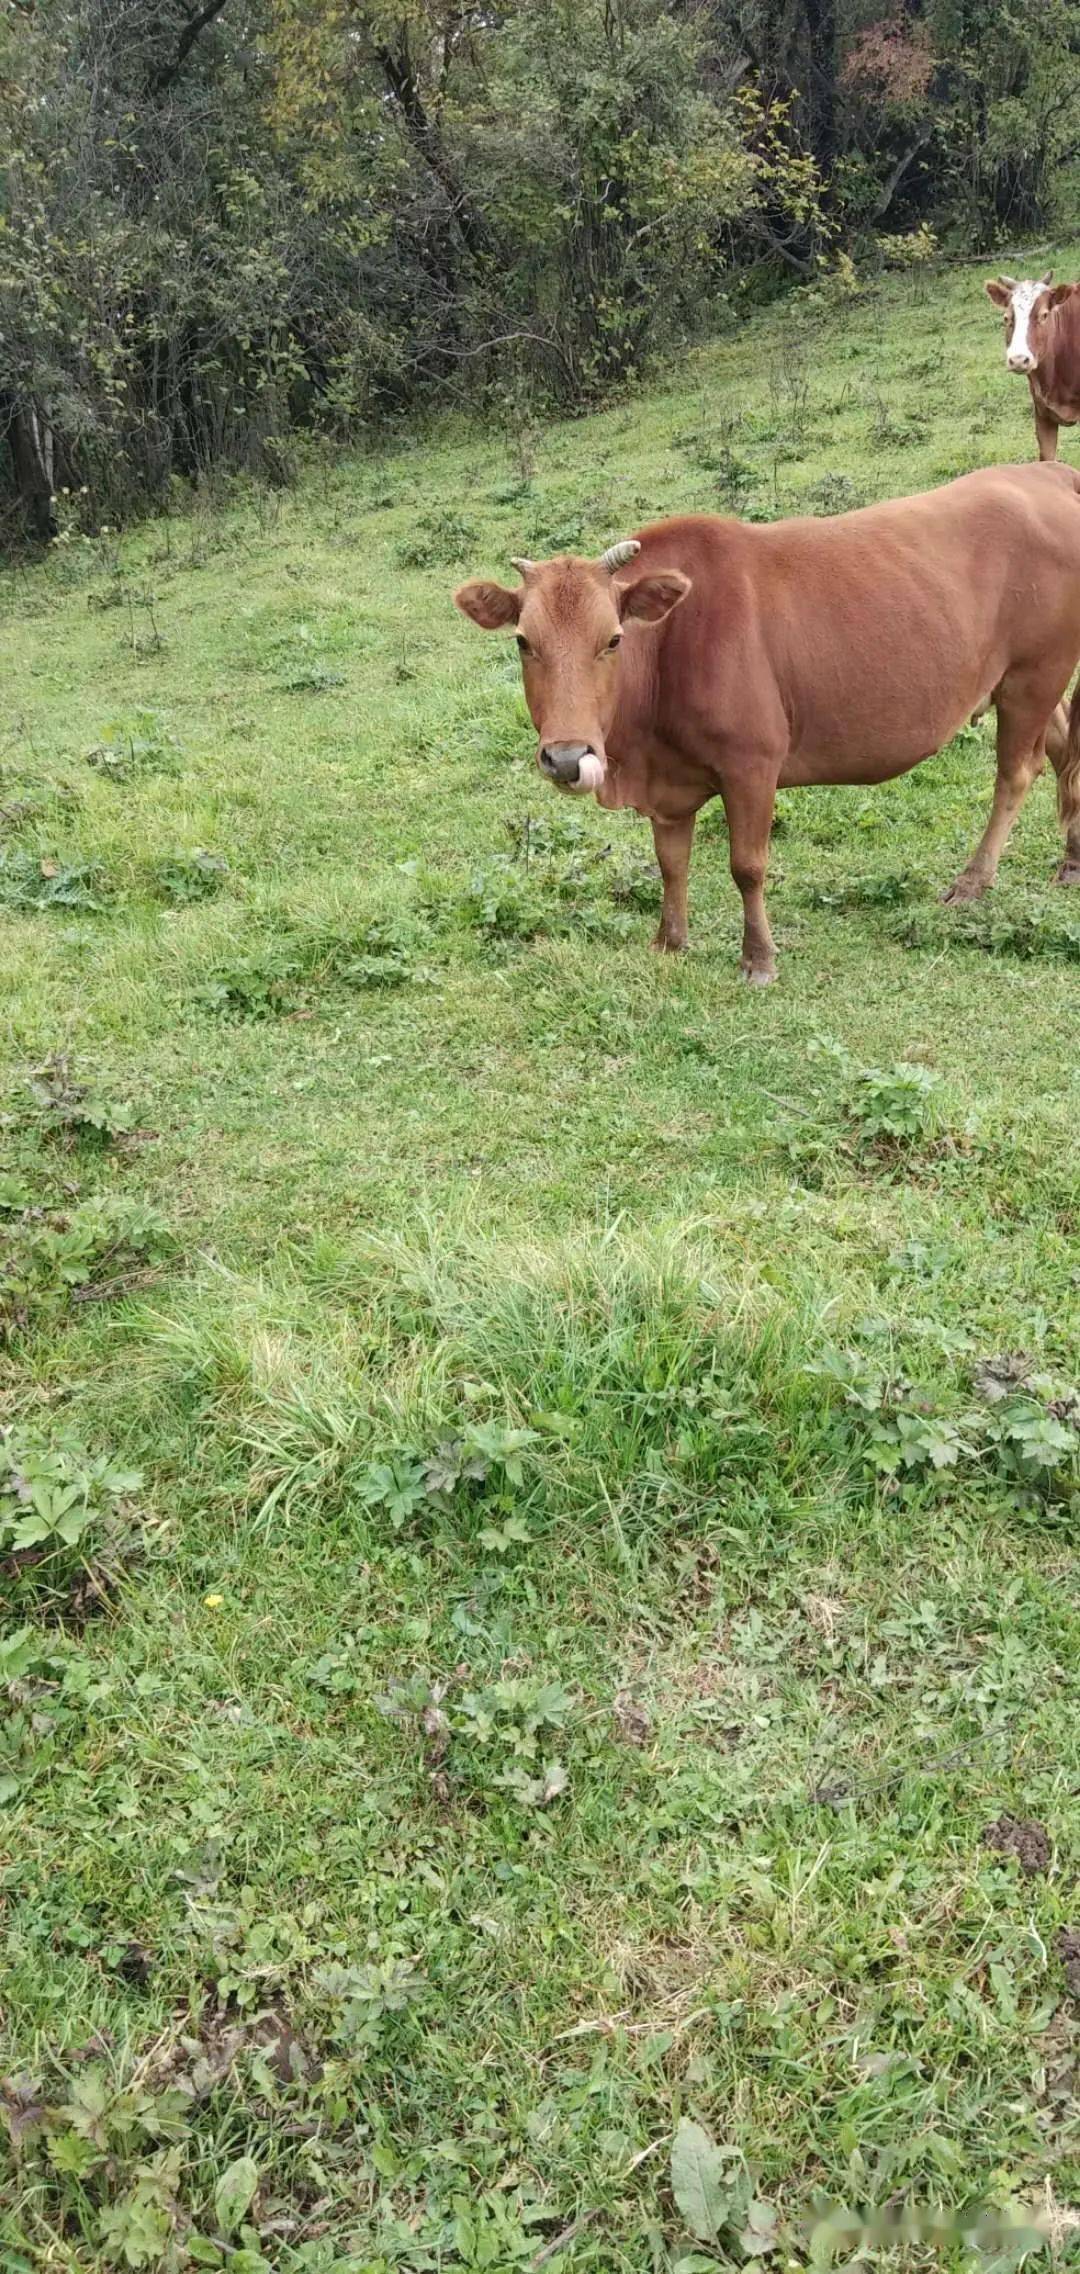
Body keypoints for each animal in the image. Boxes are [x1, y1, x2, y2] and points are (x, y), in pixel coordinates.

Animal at [454, 466, 1080, 982]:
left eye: (612, 639)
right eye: (523, 641)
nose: (566, 757)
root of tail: (1045, 473)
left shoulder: (752, 763)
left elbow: (747, 866)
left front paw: (759, 959)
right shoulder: (669, 784)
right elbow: (671, 861)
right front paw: (669, 941)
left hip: (1035, 673)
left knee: (1016, 773)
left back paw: (973, 882)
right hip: (1027, 681)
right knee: (1062, 749)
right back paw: (1071, 859)